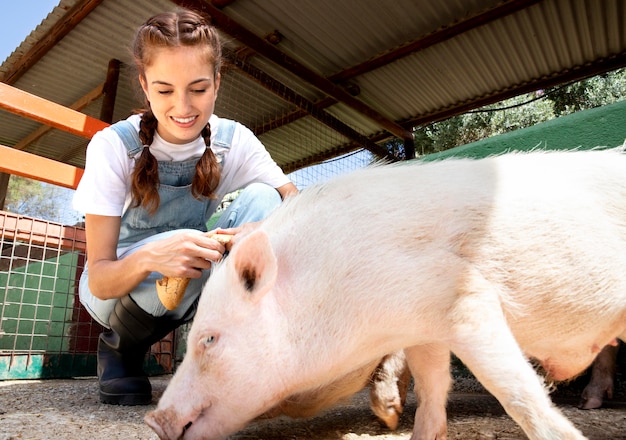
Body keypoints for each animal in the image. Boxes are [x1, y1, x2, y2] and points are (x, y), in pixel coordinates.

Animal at [144, 150, 624, 438]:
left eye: (208, 339)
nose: (153, 419)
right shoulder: (424, 326)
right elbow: (434, 382)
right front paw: (411, 429)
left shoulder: (462, 299)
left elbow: (516, 388)